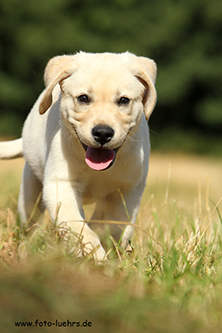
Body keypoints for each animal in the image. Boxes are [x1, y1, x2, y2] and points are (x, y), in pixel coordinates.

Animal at [0, 52, 157, 260]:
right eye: (83, 98)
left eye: (123, 100)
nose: (103, 133)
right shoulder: (61, 185)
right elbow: (78, 227)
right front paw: (95, 257)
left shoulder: (128, 189)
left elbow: (115, 225)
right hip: (30, 193)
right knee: (30, 223)